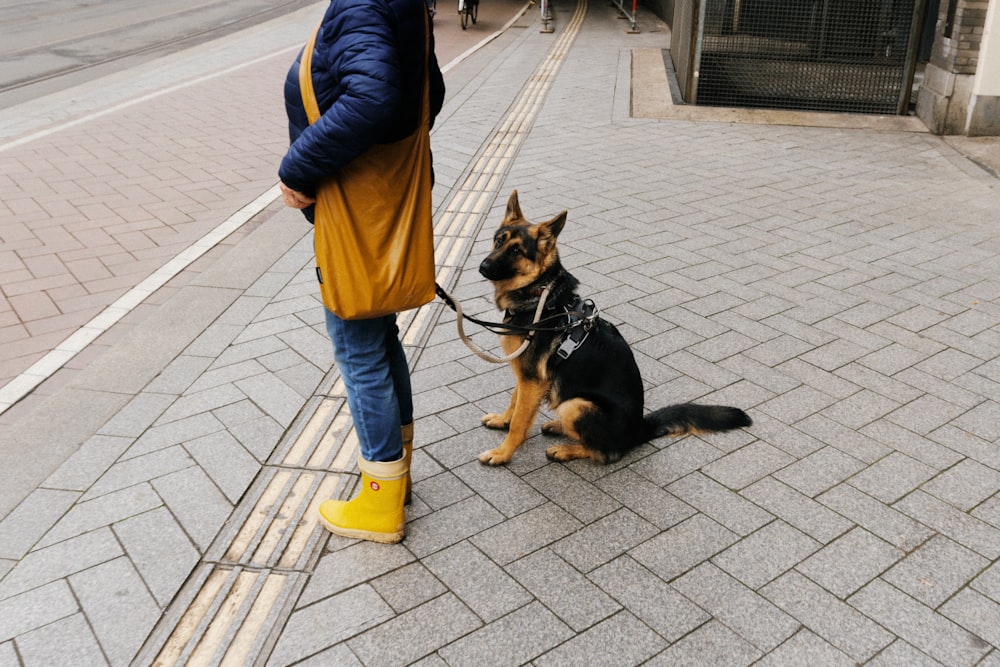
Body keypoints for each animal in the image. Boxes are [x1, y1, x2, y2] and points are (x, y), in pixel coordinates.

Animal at [476, 190, 752, 468]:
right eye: (498, 241)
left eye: (516, 250)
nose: (482, 267)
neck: (541, 294)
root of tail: (640, 429)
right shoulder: (526, 376)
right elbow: (514, 401)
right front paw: (502, 420)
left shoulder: (533, 380)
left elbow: (520, 422)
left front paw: (502, 453)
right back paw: (558, 428)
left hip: (575, 405)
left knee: (606, 453)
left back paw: (565, 449)